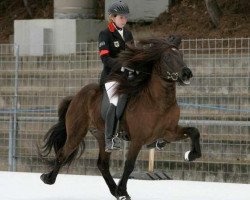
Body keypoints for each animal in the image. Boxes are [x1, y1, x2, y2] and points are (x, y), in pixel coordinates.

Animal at [40, 36, 202, 200]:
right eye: (167, 57)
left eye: (181, 55)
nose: (187, 73)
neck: (159, 102)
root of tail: (76, 97)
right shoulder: (138, 139)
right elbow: (129, 165)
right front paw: (123, 190)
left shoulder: (169, 132)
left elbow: (194, 131)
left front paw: (191, 155)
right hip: (76, 132)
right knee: (63, 153)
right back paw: (48, 178)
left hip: (101, 135)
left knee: (102, 164)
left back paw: (114, 191)